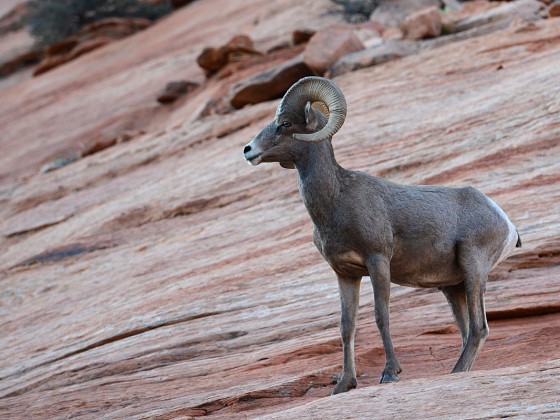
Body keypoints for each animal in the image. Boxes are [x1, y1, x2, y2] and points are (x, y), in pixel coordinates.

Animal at [242, 77, 520, 396]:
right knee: (466, 332)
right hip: (452, 287)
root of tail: (506, 222)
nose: (248, 150)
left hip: (473, 269)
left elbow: (380, 316)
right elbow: (346, 326)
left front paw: (390, 373)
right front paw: (345, 384)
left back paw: (453, 371)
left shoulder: (378, 262)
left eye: (285, 123)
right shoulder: (346, 274)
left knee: (478, 329)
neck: (336, 200)